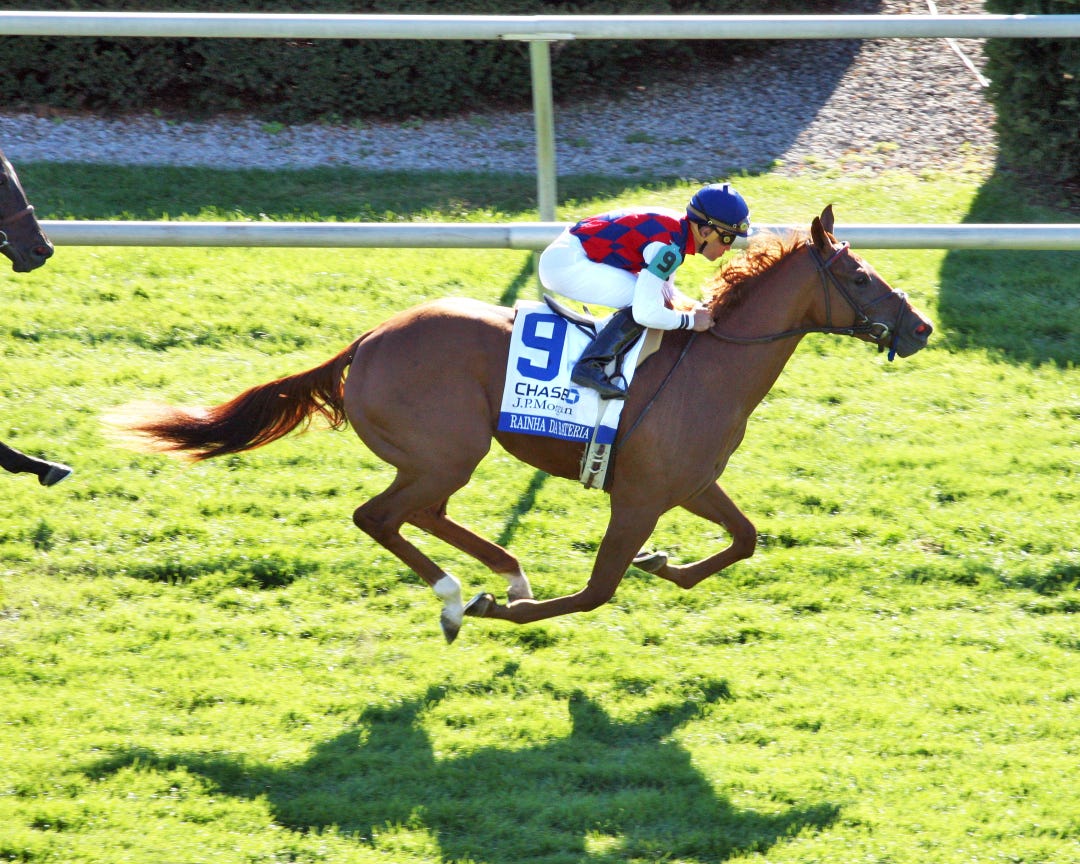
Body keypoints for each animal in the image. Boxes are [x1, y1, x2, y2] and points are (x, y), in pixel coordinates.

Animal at [127, 206, 932, 642]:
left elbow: (744, 540)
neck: (711, 368)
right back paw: (461, 598)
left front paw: (664, 565)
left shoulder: (692, 483)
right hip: (445, 450)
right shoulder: (639, 496)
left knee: (421, 513)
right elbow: (598, 591)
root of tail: (367, 340)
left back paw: (504, 573)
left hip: (441, 457)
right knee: (381, 516)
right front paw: (509, 611)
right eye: (858, 276)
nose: (921, 326)